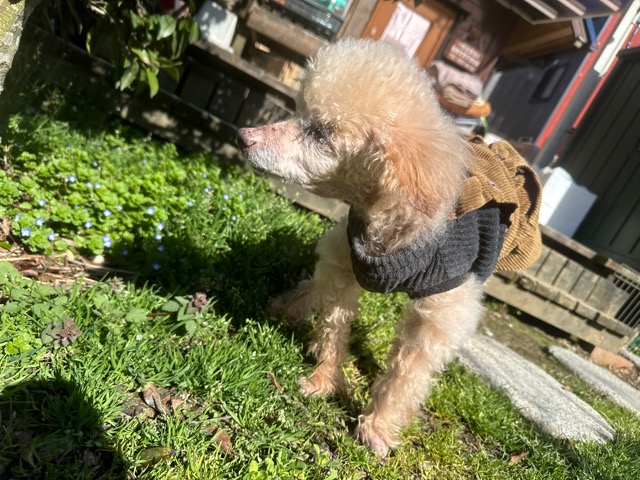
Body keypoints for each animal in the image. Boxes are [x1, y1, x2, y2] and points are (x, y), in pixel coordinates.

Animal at [237, 39, 539, 457]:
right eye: (300, 113)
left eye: (320, 133)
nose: (244, 135)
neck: (388, 226)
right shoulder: (344, 261)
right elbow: (333, 324)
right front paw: (323, 379)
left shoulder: (440, 313)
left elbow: (405, 373)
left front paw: (377, 426)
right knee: (314, 287)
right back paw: (290, 306)